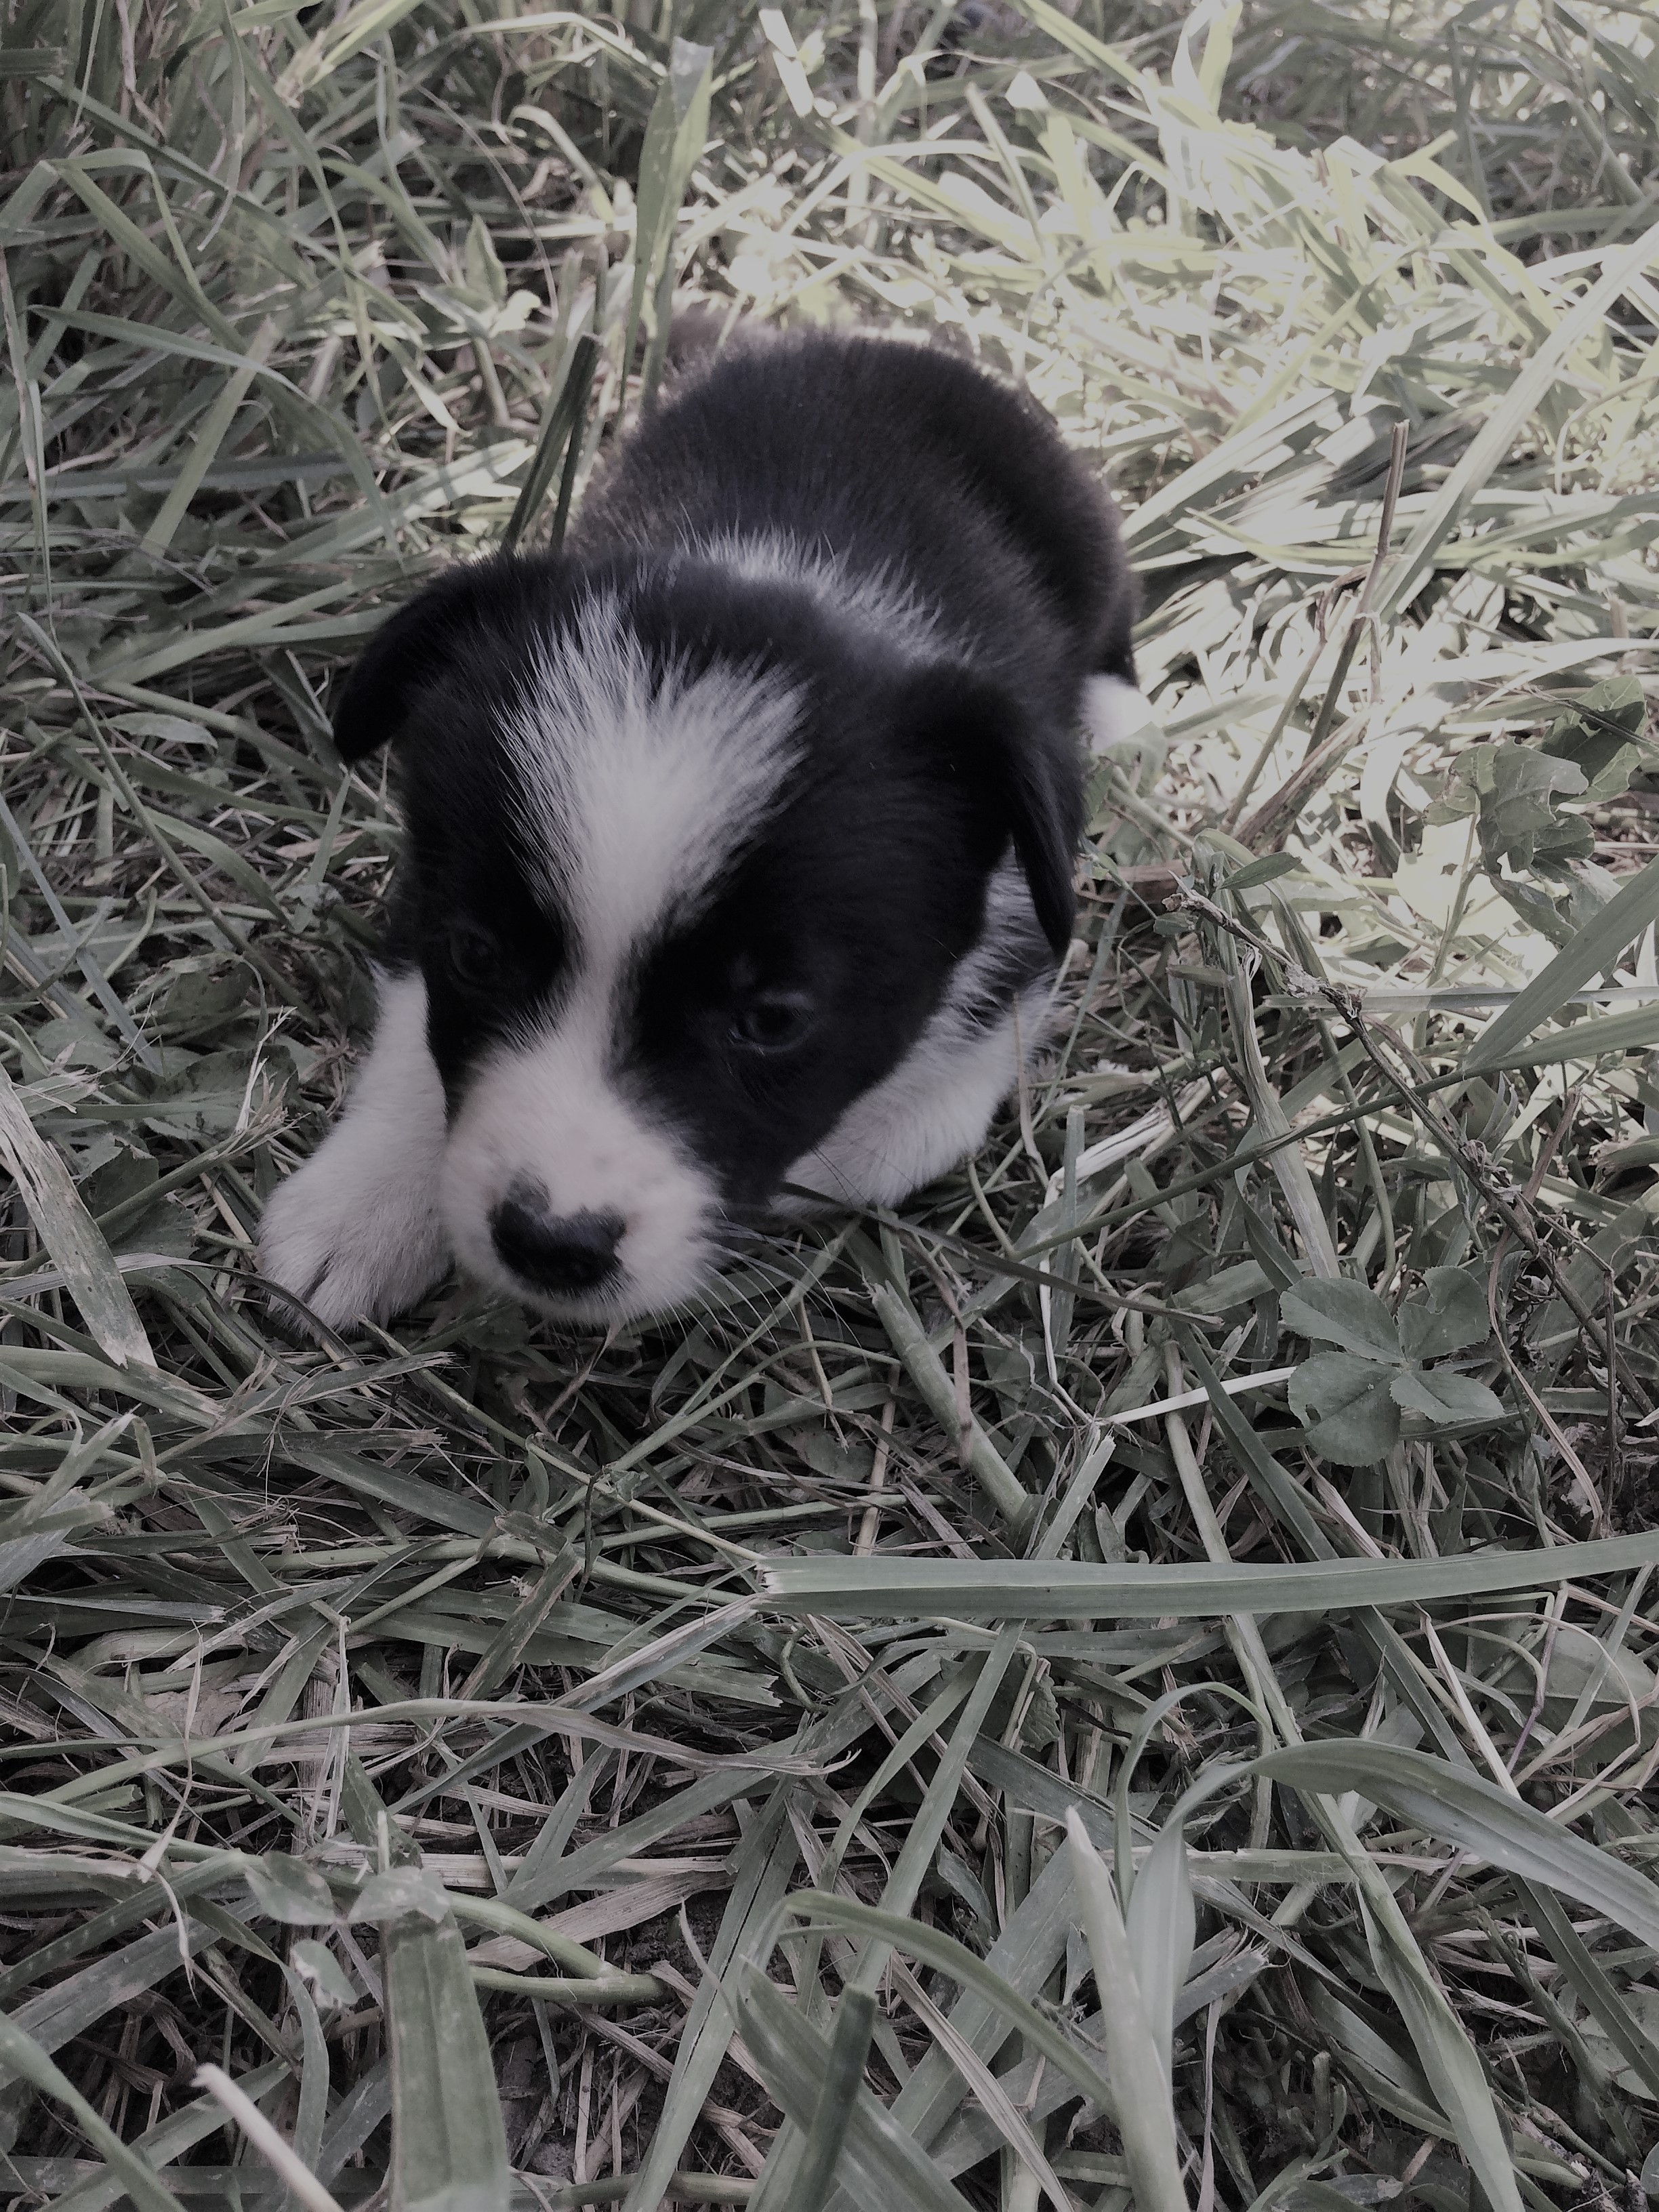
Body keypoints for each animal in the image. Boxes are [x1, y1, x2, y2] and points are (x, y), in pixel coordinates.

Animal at [256, 327, 1141, 1327]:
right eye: (477, 956)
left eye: (772, 1019)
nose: (550, 1247)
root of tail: (874, 342)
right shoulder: (424, 901)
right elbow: (414, 1030)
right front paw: (362, 1209)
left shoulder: (1023, 923)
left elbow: (914, 1117)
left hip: (1082, 526)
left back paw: (1119, 716)